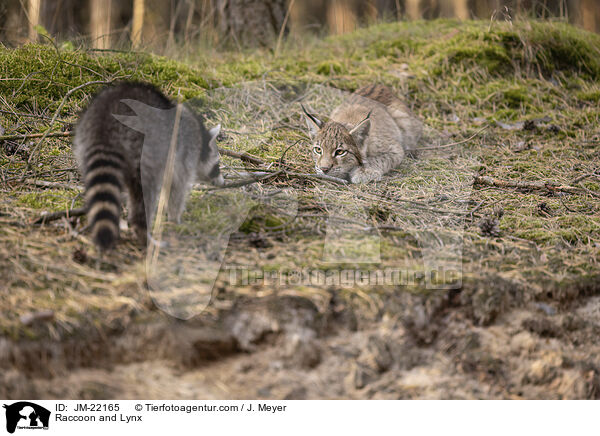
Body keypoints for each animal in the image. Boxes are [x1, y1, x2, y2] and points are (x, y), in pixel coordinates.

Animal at [72, 82, 223, 250]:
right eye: (217, 165)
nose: (222, 182)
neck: (200, 138)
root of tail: (104, 119)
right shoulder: (185, 153)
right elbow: (176, 188)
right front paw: (175, 219)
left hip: (83, 143)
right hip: (144, 145)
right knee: (146, 190)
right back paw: (144, 232)